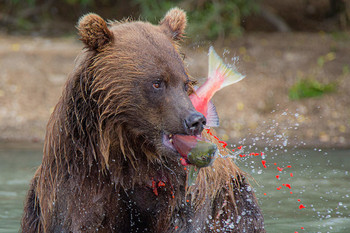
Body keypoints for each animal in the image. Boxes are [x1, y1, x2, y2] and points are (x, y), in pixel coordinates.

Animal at [21, 7, 262, 233]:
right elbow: (76, 218)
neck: (126, 149)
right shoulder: (79, 170)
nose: (195, 120)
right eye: (157, 82)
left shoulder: (174, 191)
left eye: (184, 83)